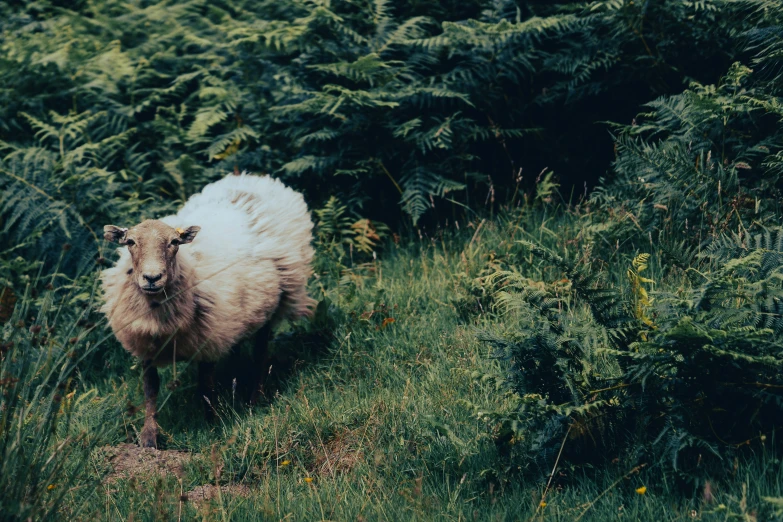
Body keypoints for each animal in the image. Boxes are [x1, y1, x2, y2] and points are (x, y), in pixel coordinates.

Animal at [101, 172, 316, 446]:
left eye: (174, 242)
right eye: (130, 242)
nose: (152, 278)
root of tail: (257, 179)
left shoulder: (208, 339)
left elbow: (206, 386)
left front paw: (211, 425)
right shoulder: (145, 343)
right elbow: (151, 389)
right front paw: (149, 436)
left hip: (272, 305)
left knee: (260, 354)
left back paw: (254, 399)